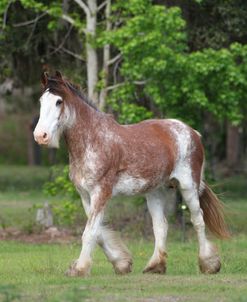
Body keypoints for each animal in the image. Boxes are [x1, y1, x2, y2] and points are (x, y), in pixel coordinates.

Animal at [33, 72, 230, 278]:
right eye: (41, 101)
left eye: (59, 101)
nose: (40, 136)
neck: (93, 139)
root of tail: (193, 132)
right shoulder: (85, 195)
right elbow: (99, 233)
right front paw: (121, 263)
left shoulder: (101, 193)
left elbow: (90, 232)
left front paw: (80, 268)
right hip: (155, 192)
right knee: (161, 226)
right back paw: (155, 266)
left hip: (188, 186)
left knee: (198, 220)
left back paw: (208, 264)